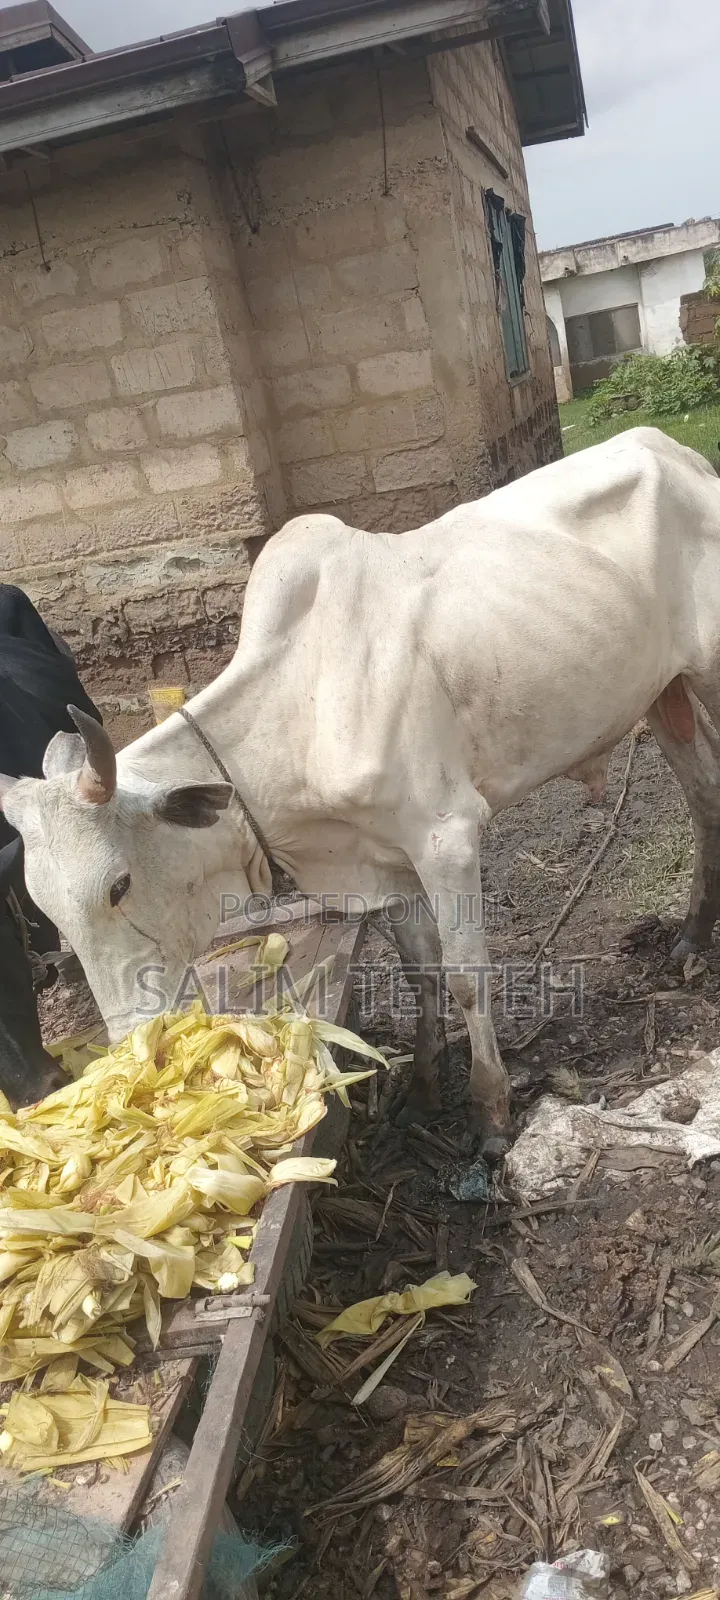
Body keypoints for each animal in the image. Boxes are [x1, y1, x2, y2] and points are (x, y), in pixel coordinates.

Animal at [3, 427, 720, 1151]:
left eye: (118, 886)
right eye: (45, 914)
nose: (130, 1043)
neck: (302, 705)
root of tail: (673, 450)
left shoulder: (447, 838)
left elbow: (467, 977)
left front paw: (490, 1111)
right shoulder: (382, 861)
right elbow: (422, 970)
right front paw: (424, 1090)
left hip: (708, 673)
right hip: (662, 694)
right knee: (705, 796)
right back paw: (690, 939)